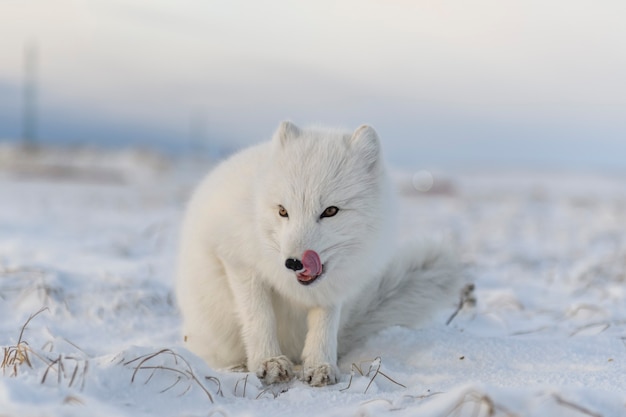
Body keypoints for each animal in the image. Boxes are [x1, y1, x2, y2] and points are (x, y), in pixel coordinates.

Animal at [176, 122, 458, 386]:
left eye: (330, 211)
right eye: (282, 211)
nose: (292, 262)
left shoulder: (334, 288)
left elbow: (324, 325)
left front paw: (320, 366)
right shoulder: (237, 261)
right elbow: (259, 317)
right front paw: (268, 361)